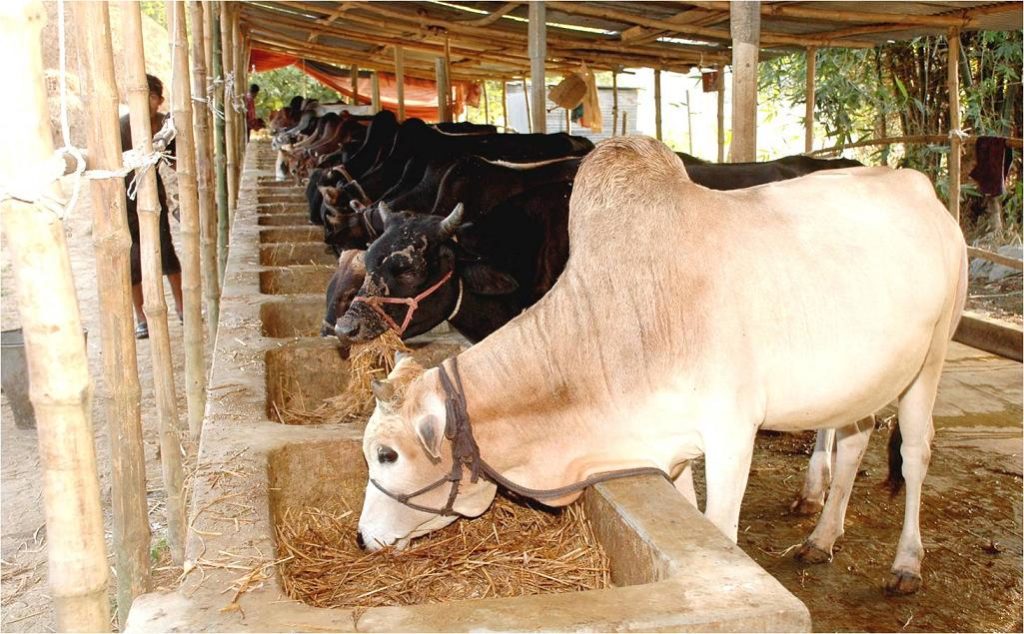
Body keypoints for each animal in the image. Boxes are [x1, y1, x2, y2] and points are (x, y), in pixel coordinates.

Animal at [355, 136, 967, 597]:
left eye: (387, 455)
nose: (362, 539)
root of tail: (918, 186)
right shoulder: (671, 442)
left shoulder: (731, 435)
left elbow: (721, 530)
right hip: (862, 381)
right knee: (855, 442)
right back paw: (821, 538)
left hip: (930, 362)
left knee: (915, 454)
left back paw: (906, 564)